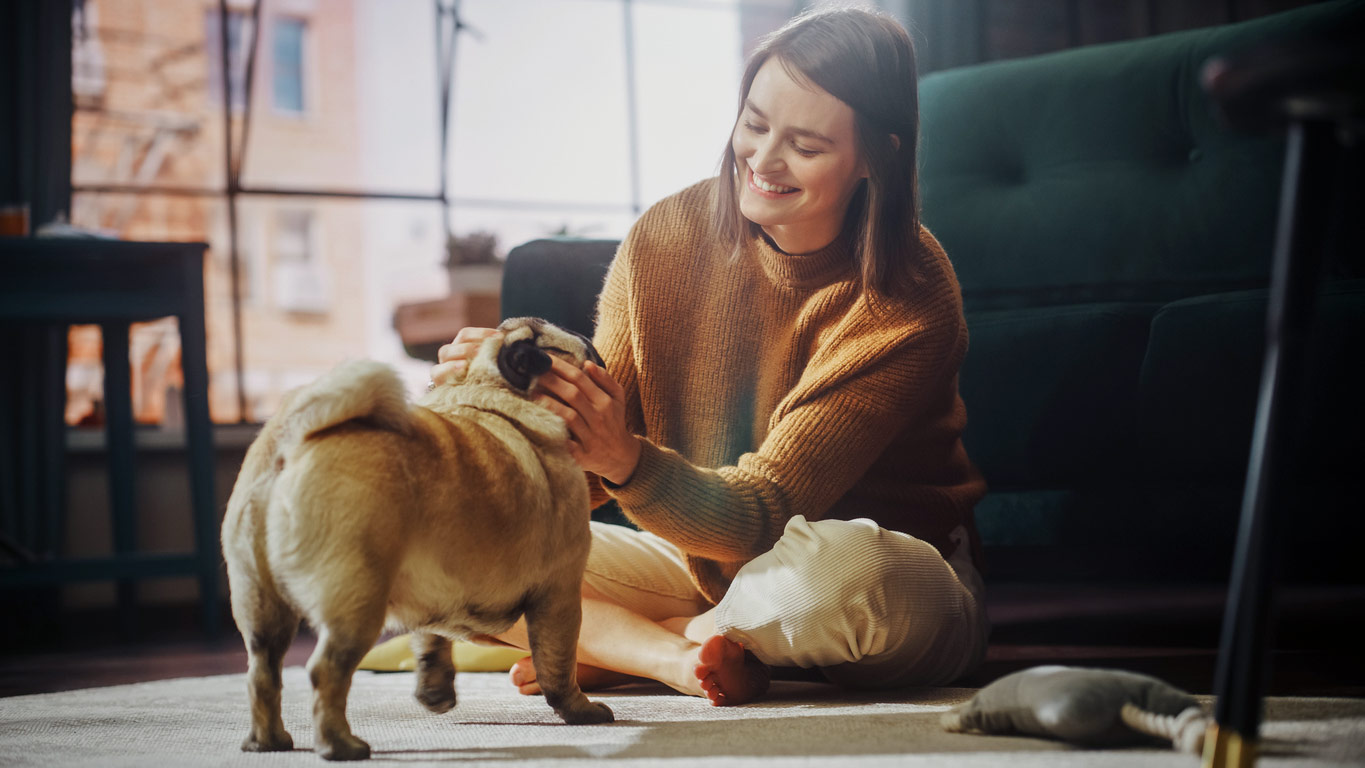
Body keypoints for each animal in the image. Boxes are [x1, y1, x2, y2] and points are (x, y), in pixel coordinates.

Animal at [222, 315, 614, 758]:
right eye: (577, 345)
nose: (592, 341)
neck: (489, 393)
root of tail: (292, 443)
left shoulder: (435, 583)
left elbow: (431, 640)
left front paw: (435, 692)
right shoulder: (560, 593)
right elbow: (559, 664)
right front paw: (580, 711)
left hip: (260, 600)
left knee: (263, 671)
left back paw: (267, 742)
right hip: (356, 597)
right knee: (326, 671)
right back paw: (340, 745)